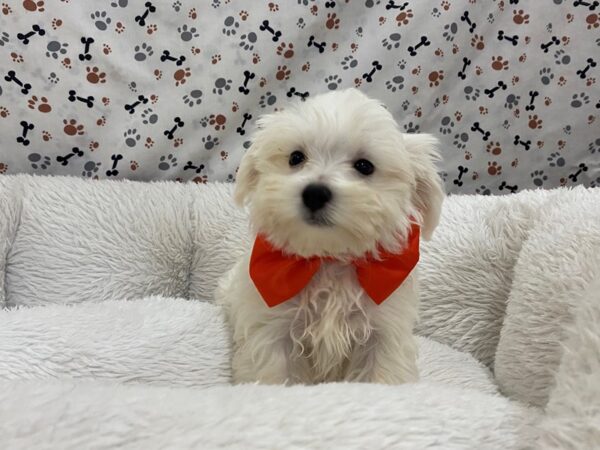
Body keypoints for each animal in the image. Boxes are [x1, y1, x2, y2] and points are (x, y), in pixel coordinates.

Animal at [217, 89, 446, 386]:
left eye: (364, 166)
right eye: (295, 158)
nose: (315, 193)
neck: (329, 259)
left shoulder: (384, 330)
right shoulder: (271, 325)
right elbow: (273, 375)